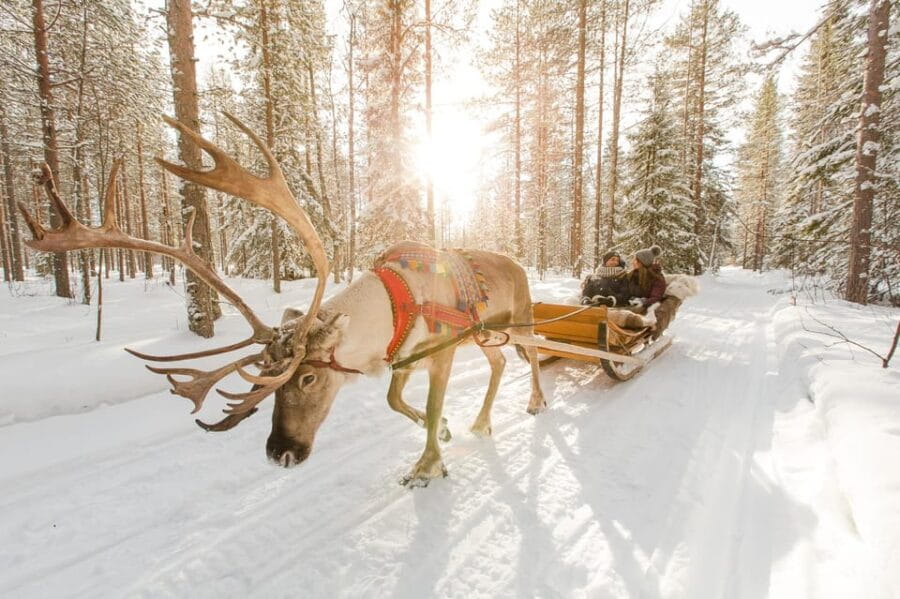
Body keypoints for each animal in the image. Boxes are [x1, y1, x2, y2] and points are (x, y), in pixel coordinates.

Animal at [18, 113, 547, 487]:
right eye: (266, 377)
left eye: (307, 377)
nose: (280, 454)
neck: (397, 306)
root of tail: (518, 261)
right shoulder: (403, 358)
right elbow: (397, 402)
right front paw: (442, 429)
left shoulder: (440, 354)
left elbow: (432, 408)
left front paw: (427, 464)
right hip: (487, 337)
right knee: (501, 363)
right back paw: (481, 420)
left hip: (518, 318)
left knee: (533, 353)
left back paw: (536, 401)